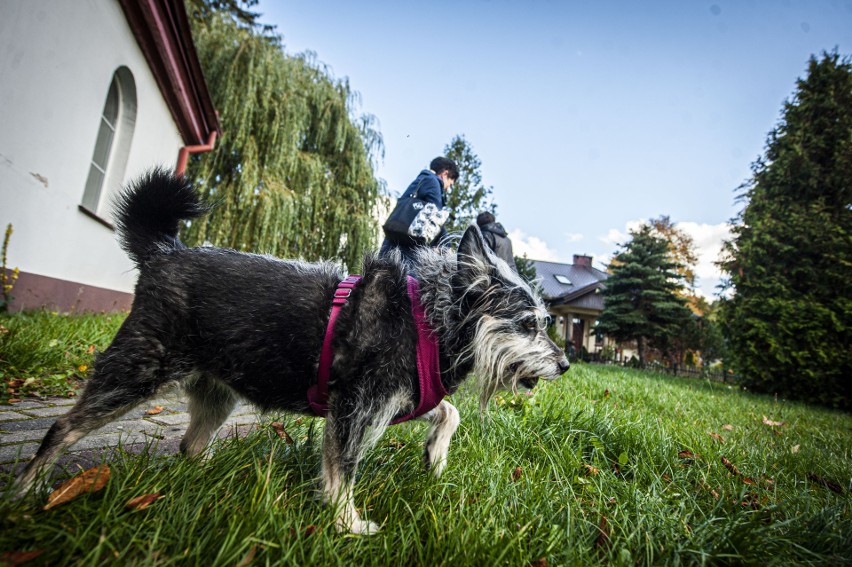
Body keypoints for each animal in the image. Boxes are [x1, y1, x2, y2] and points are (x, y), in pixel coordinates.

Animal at [10, 171, 568, 536]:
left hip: (216, 392)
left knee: (190, 445)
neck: (429, 319)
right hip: (139, 368)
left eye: (546, 322)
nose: (565, 364)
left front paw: (436, 455)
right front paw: (346, 524)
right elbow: (343, 468)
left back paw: (209, 476)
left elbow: (447, 412)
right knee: (63, 427)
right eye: (529, 324)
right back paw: (26, 493)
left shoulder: (398, 398)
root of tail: (165, 253)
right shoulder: (355, 406)